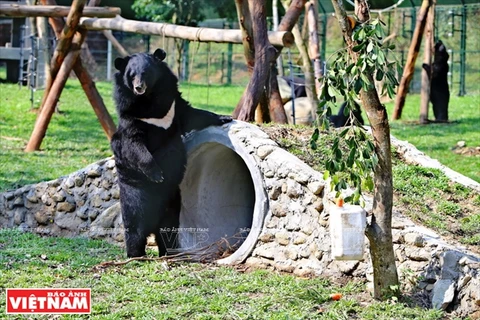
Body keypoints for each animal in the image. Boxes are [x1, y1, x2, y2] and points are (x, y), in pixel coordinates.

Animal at [112, 48, 232, 258]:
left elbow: (194, 115)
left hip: (172, 202)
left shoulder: (173, 105)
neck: (148, 100)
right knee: (134, 226)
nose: (138, 88)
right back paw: (136, 254)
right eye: (131, 75)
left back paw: (169, 252)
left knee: (168, 230)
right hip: (134, 193)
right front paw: (157, 174)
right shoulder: (130, 115)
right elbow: (134, 146)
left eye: (146, 73)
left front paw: (224, 117)